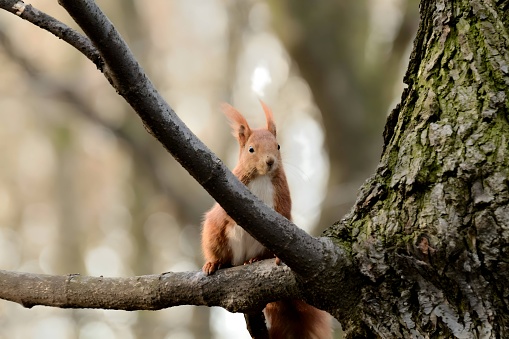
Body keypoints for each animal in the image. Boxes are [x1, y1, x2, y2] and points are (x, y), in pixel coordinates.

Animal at [200, 101, 332, 339]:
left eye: (278, 146)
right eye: (251, 149)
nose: (270, 161)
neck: (261, 176)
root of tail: (240, 259)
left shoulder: (282, 199)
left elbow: (283, 215)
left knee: (259, 255)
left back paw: (255, 260)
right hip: (214, 233)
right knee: (219, 250)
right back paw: (214, 263)